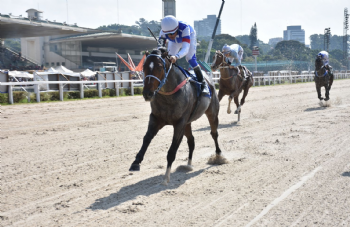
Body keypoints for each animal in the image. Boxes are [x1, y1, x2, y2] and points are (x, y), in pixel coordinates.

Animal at [129, 49, 224, 184]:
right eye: (144, 66)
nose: (147, 93)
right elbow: (146, 138)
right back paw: (188, 164)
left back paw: (219, 156)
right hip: (188, 123)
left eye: (159, 67)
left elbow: (172, 149)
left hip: (212, 113)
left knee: (214, 133)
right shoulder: (156, 118)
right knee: (191, 141)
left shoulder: (180, 123)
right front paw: (136, 162)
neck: (168, 95)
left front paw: (166, 176)